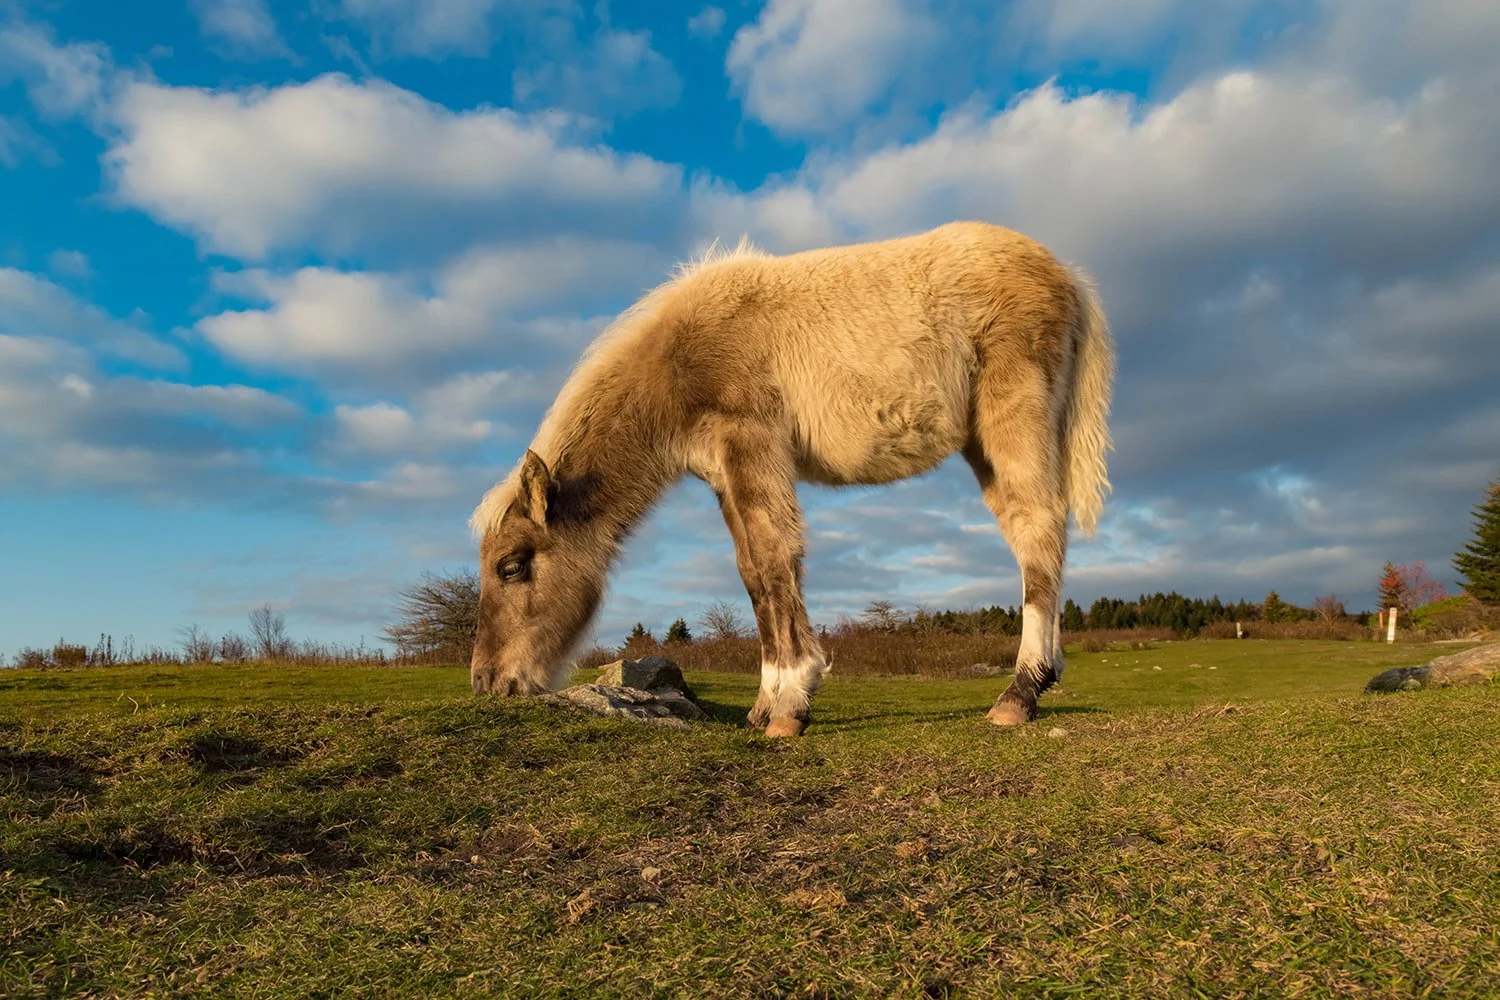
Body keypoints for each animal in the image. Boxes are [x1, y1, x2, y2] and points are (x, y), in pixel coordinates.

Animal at [468, 220, 1115, 737]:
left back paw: (1019, 695)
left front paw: (791, 705)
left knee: (1038, 529)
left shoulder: (752, 443)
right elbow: (753, 572)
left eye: (512, 566)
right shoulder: (723, 472)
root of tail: (1071, 279)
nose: (488, 682)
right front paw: (764, 705)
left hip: (1012, 418)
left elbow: (775, 557)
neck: (681, 358)